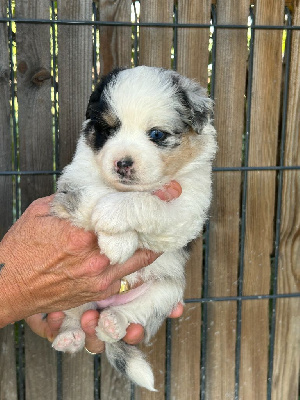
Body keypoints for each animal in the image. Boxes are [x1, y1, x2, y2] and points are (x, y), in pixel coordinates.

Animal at [51, 66, 216, 390]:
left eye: (156, 134)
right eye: (108, 129)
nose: (122, 163)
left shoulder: (187, 209)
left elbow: (146, 202)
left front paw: (115, 229)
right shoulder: (75, 178)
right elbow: (96, 192)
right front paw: (116, 241)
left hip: (166, 292)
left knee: (132, 313)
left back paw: (112, 323)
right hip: (69, 293)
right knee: (75, 313)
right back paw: (70, 335)